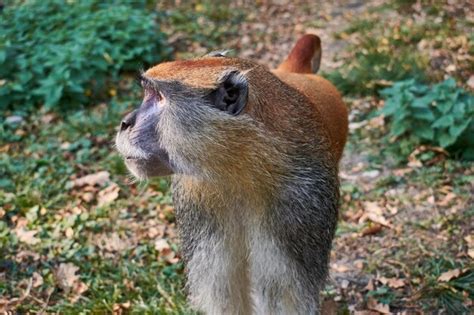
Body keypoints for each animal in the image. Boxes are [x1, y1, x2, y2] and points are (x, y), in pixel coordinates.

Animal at [116, 33, 348, 314]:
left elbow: (284, 295)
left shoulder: (302, 203)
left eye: (159, 97)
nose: (125, 123)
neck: (239, 164)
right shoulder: (196, 200)